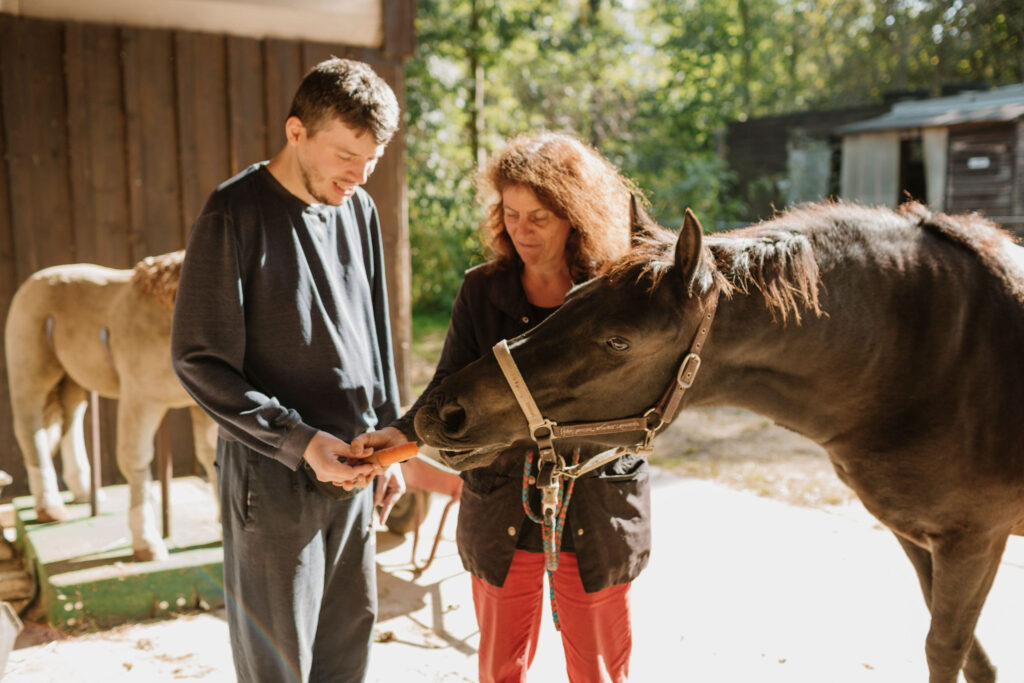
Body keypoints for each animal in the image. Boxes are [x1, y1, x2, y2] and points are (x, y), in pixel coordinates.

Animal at [5, 251, 217, 562]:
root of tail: (34, 280)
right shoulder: (140, 399)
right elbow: (135, 461)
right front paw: (147, 545)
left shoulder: (204, 407)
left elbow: (211, 455)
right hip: (30, 374)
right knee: (30, 431)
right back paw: (50, 508)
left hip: (72, 380)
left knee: (70, 423)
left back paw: (84, 492)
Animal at [413, 201, 1024, 683]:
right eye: (572, 294)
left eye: (619, 341)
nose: (443, 412)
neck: (926, 357)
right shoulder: (918, 537)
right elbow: (972, 658)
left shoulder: (973, 542)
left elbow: (945, 650)